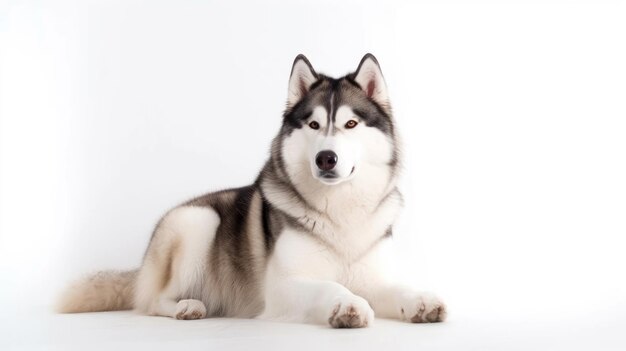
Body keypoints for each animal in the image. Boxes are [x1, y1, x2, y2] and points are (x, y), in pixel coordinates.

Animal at [58, 53, 446, 328]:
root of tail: (142, 267)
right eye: (314, 124)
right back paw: (187, 306)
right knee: (153, 302)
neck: (339, 212)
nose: (325, 158)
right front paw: (347, 304)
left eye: (350, 123)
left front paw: (421, 300)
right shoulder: (283, 287)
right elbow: (330, 286)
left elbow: (398, 287)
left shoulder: (374, 278)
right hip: (197, 222)